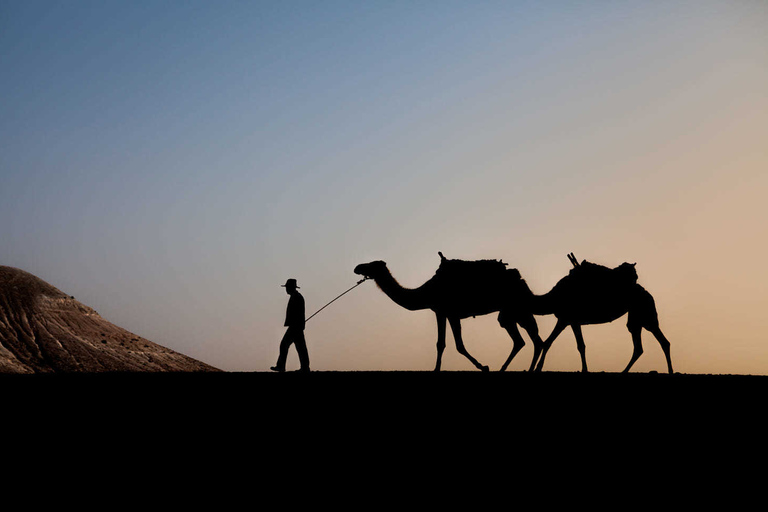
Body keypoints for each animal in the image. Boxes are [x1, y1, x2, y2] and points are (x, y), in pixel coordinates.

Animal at [356, 253, 544, 370]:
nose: (357, 267)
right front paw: (437, 369)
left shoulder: (449, 312)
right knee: (525, 340)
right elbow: (442, 343)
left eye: (372, 265)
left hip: (516, 308)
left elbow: (456, 345)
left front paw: (483, 367)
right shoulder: (442, 312)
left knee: (533, 339)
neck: (426, 292)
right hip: (512, 311)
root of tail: (520, 279)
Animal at [528, 254, 672, 374]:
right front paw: (584, 369)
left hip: (644, 314)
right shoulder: (572, 321)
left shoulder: (565, 319)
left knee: (657, 341)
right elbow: (580, 345)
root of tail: (648, 294)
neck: (554, 298)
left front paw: (537, 368)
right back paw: (625, 371)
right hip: (637, 316)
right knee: (644, 345)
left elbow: (549, 342)